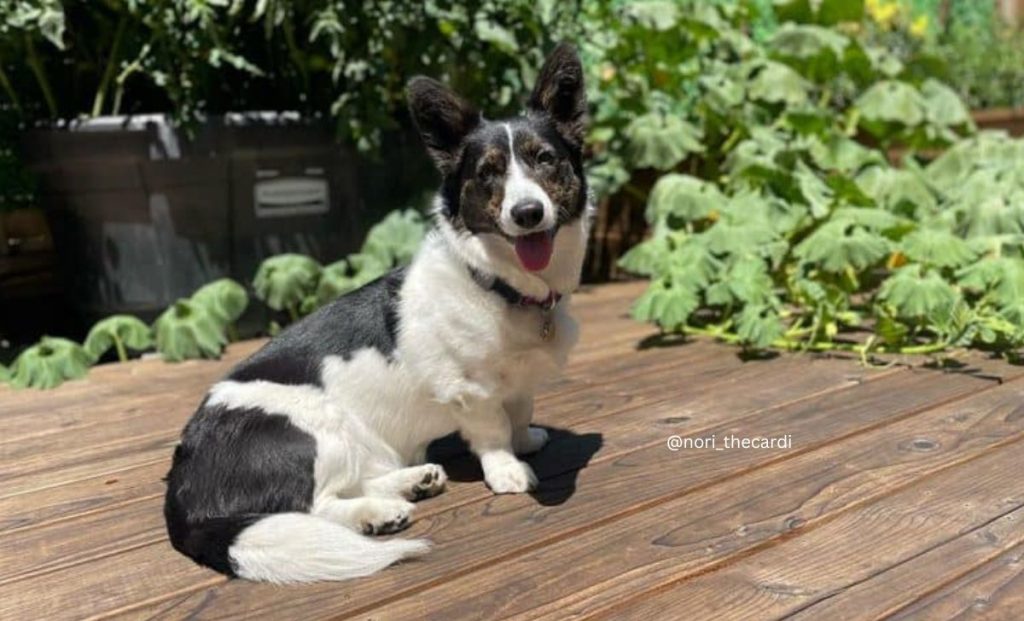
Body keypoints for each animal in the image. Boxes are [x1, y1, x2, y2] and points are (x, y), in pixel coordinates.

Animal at [161, 42, 593, 582]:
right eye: (488, 173)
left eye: (545, 160)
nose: (527, 213)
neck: (499, 283)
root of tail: (181, 490)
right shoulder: (470, 391)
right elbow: (494, 430)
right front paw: (509, 470)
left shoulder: (517, 383)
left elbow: (519, 411)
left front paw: (527, 439)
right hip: (317, 428)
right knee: (315, 505)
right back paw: (379, 514)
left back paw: (413, 482)